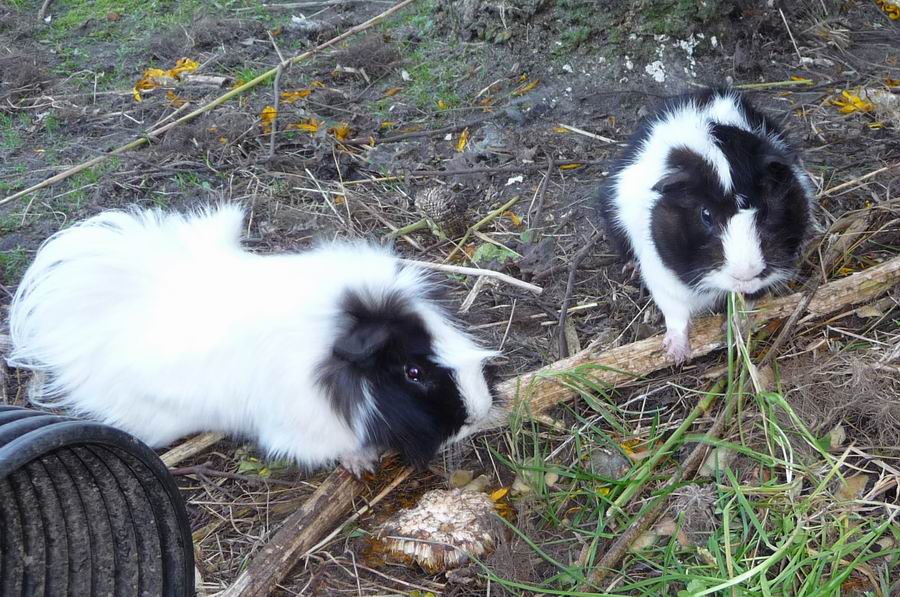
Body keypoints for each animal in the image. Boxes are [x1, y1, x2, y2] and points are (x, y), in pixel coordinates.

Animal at [596, 88, 816, 362]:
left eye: (765, 209)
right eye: (706, 214)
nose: (746, 274)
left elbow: (745, 305)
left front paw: (732, 330)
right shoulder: (663, 279)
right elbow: (676, 316)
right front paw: (675, 355)